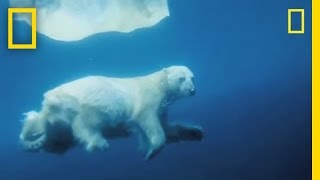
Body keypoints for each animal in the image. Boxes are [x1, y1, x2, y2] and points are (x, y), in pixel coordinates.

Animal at [20, 65, 204, 159]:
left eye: (193, 78)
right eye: (181, 78)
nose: (193, 90)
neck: (159, 83)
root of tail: (46, 107)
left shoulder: (163, 107)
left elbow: (168, 127)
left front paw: (196, 131)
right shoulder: (148, 99)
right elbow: (149, 122)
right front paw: (151, 152)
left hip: (59, 126)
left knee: (58, 142)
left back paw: (42, 143)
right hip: (79, 106)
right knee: (85, 125)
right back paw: (99, 143)